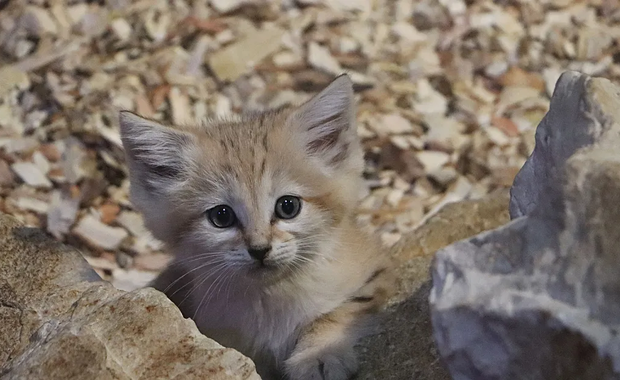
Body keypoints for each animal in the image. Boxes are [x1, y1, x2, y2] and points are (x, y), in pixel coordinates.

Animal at [118, 75, 394, 380]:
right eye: (221, 217)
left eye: (288, 206)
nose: (260, 249)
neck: (272, 299)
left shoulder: (375, 271)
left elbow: (336, 313)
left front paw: (318, 355)